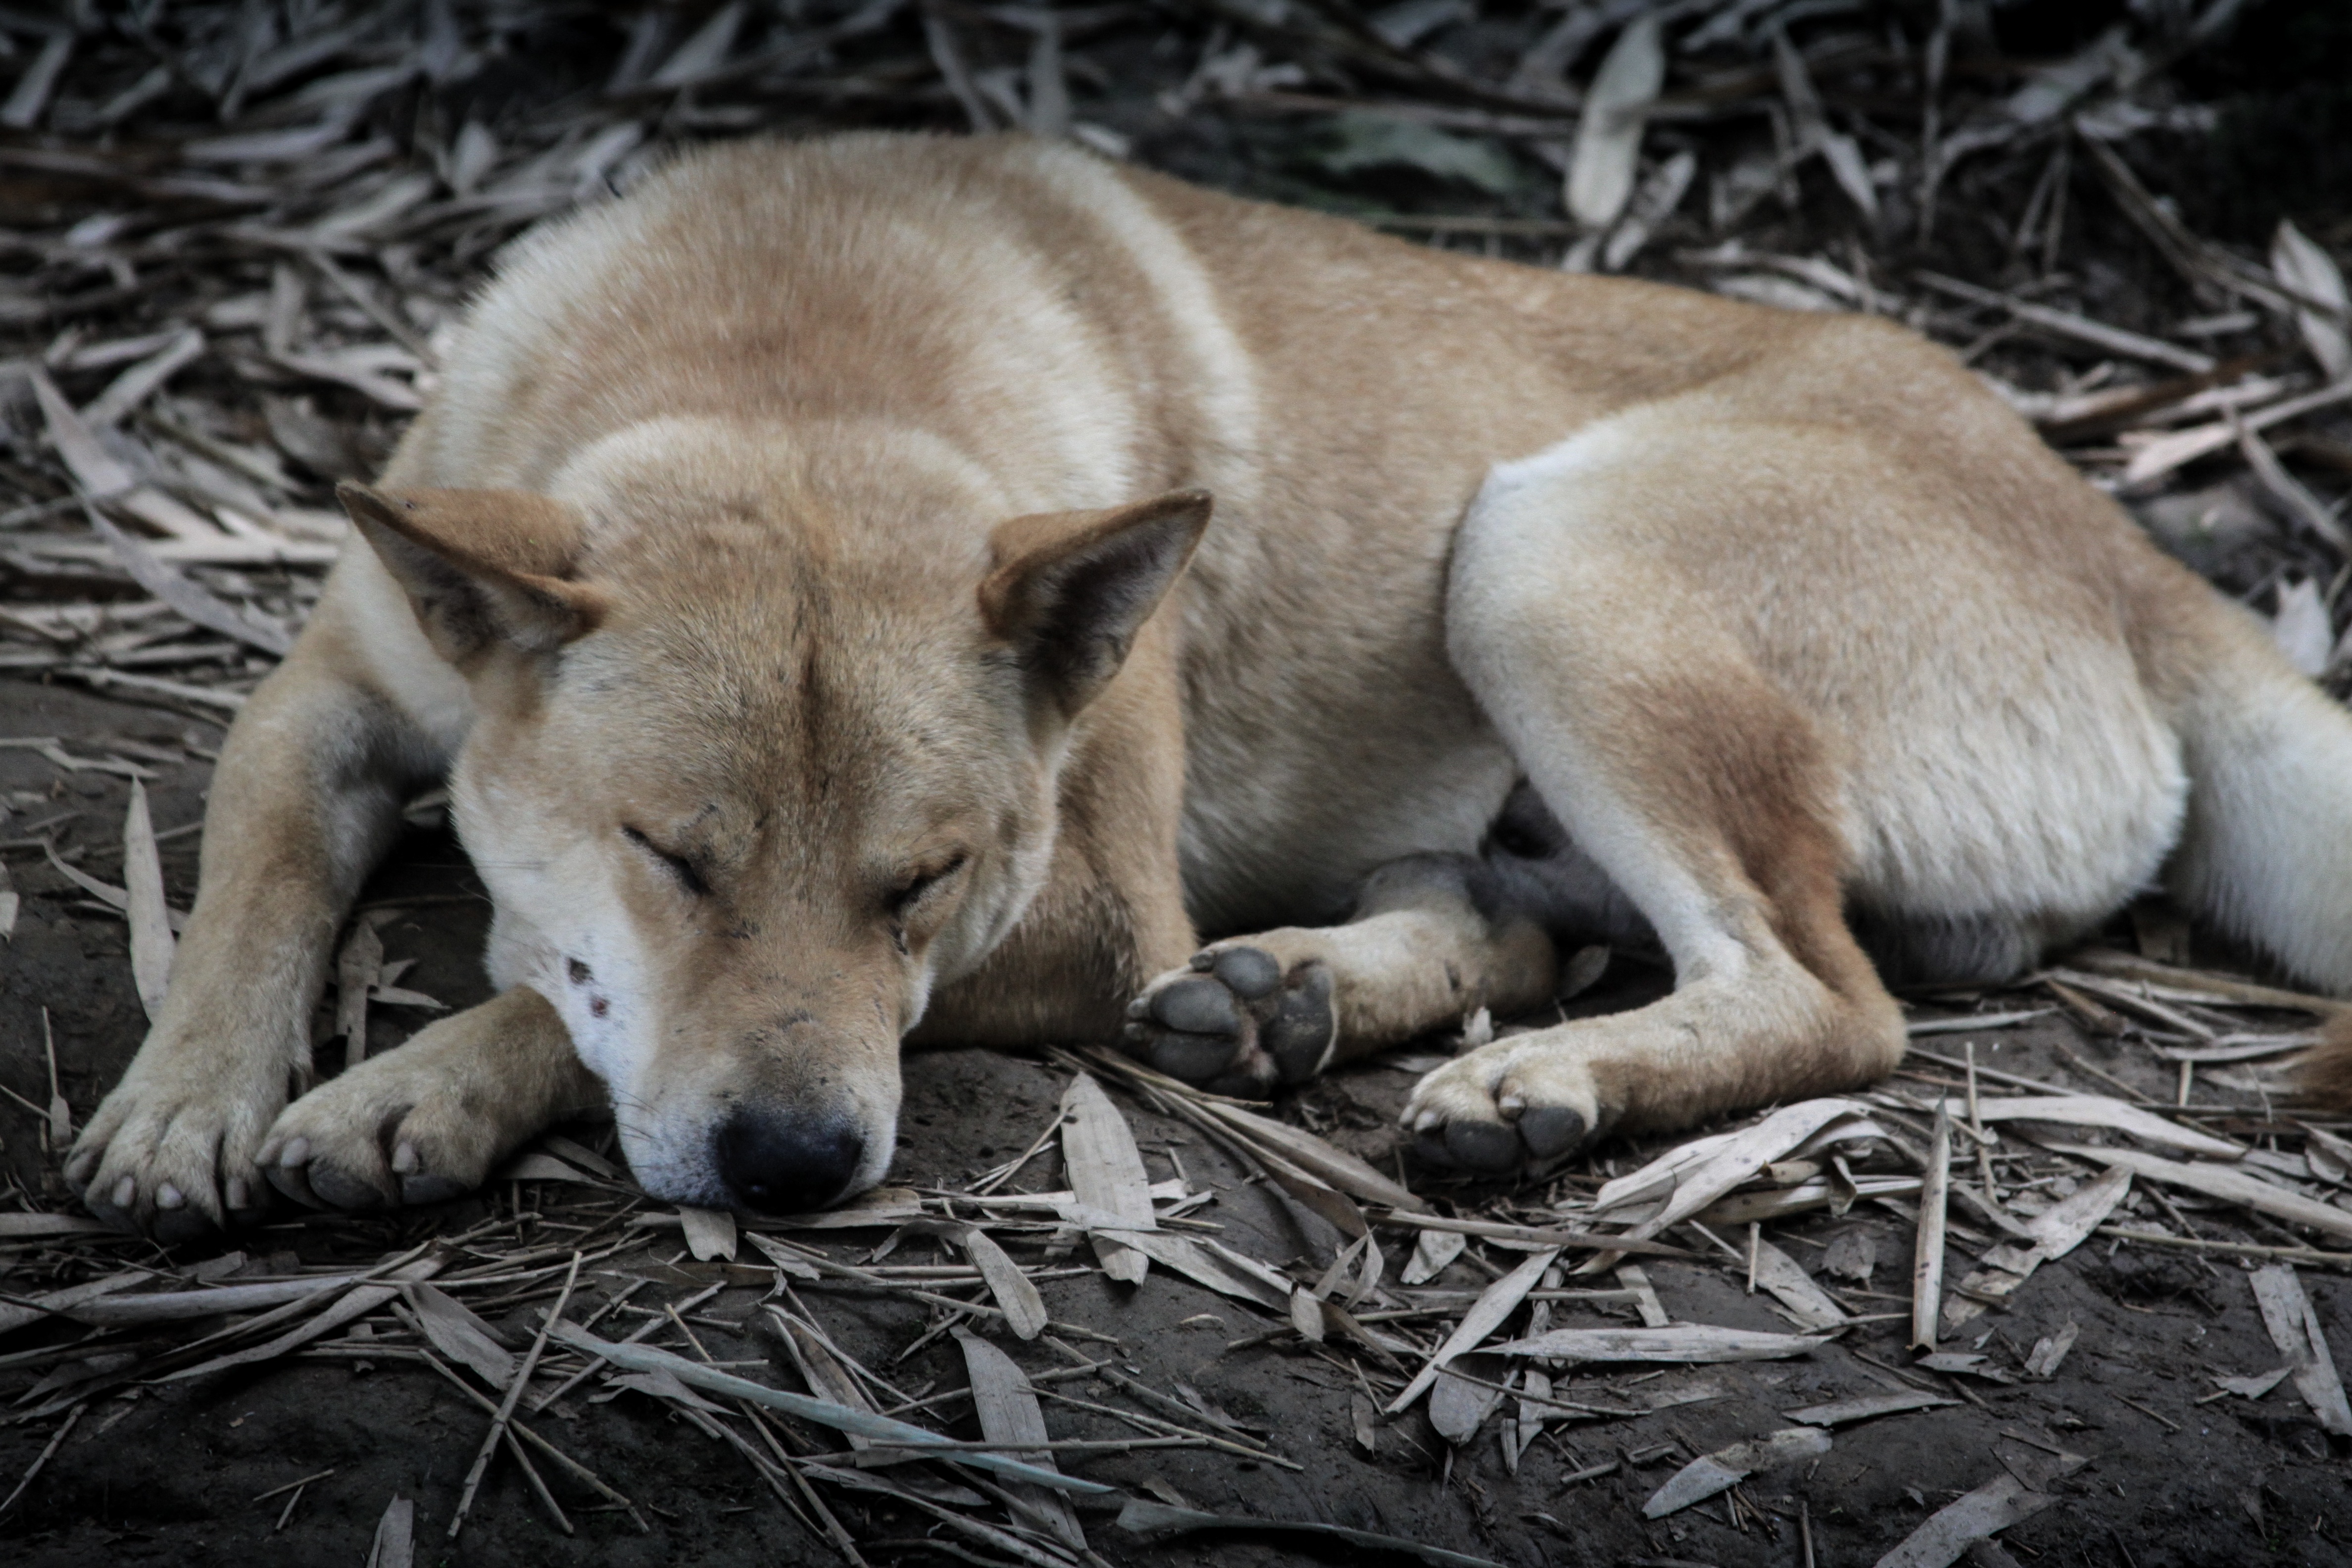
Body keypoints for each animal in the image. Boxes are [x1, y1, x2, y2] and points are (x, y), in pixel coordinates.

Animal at [64, 135, 2352, 1241]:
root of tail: (2131, 539)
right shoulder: (322, 694)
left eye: (926, 883)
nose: (796, 1172)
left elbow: (554, 1001)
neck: (790, 354)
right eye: (673, 856)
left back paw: (1528, 1086)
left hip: (1541, 554)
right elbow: (257, 889)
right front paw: (182, 1110)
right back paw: (1310, 996)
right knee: (1540, 917)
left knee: (1826, 997)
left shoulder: (1083, 909)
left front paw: (418, 1085)